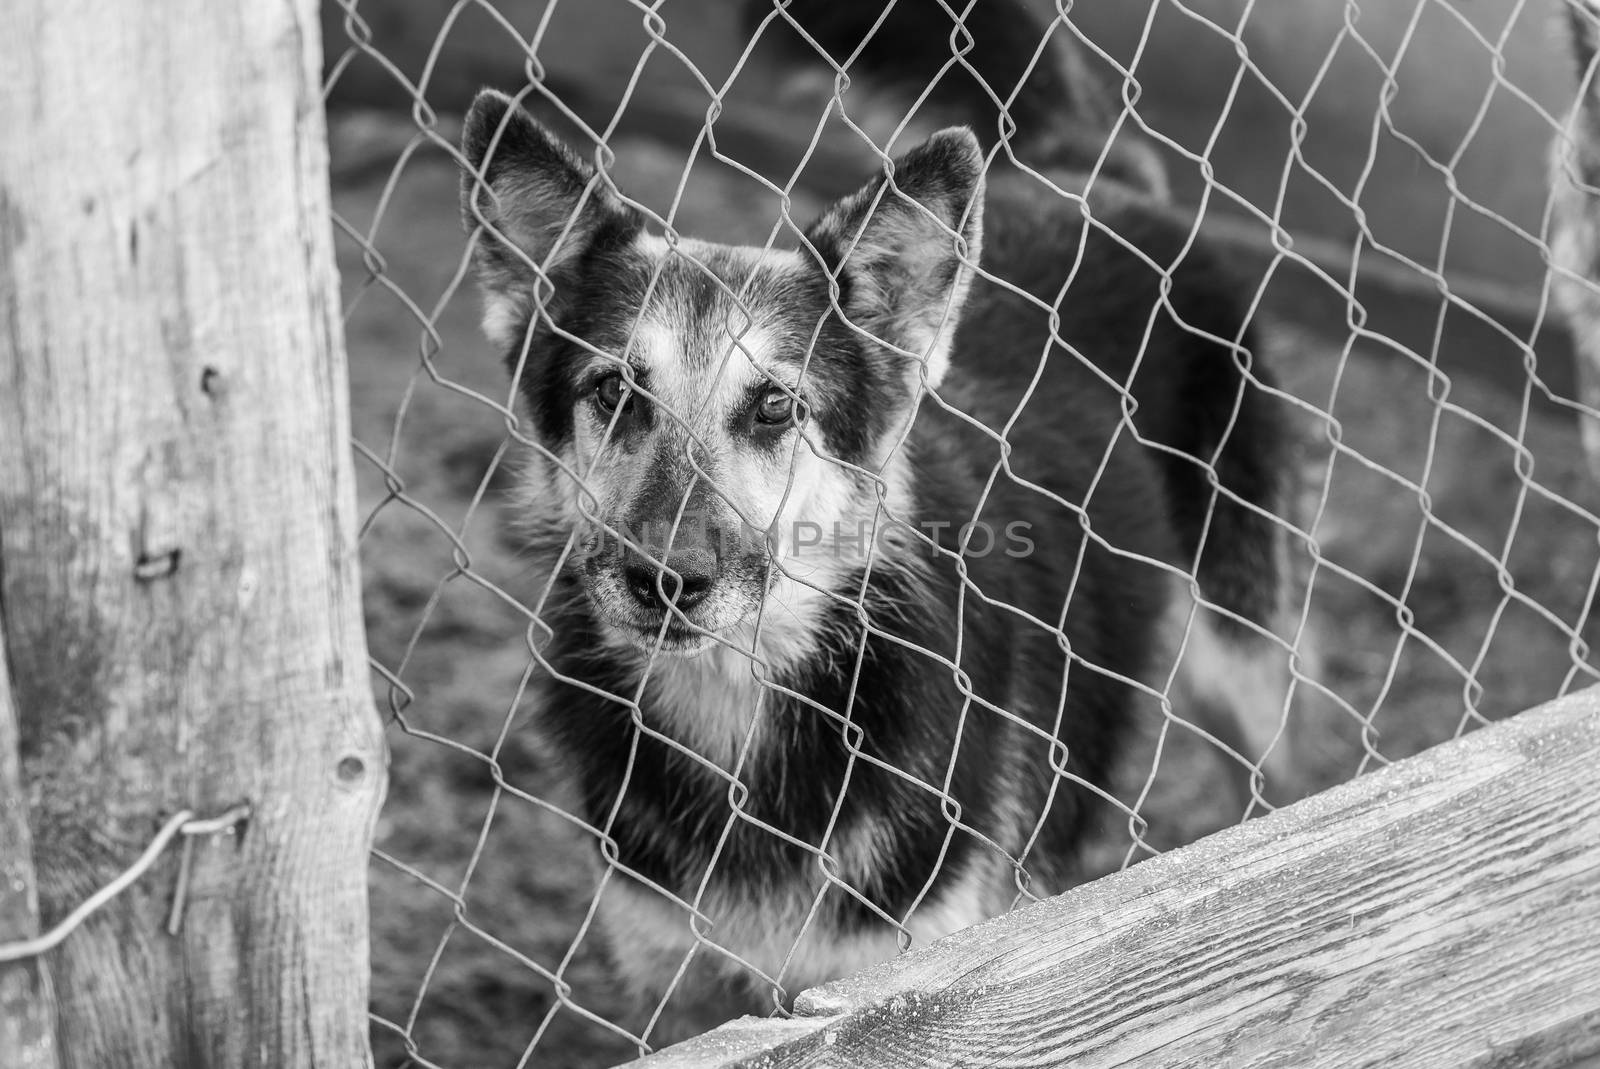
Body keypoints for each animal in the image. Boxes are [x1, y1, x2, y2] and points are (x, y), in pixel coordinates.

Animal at [460, 0, 1299, 1036]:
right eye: (614, 391)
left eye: (776, 407)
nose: (664, 580)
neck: (744, 702)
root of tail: (1083, 177)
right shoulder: (682, 995)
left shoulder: (933, 979)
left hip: (1239, 650)